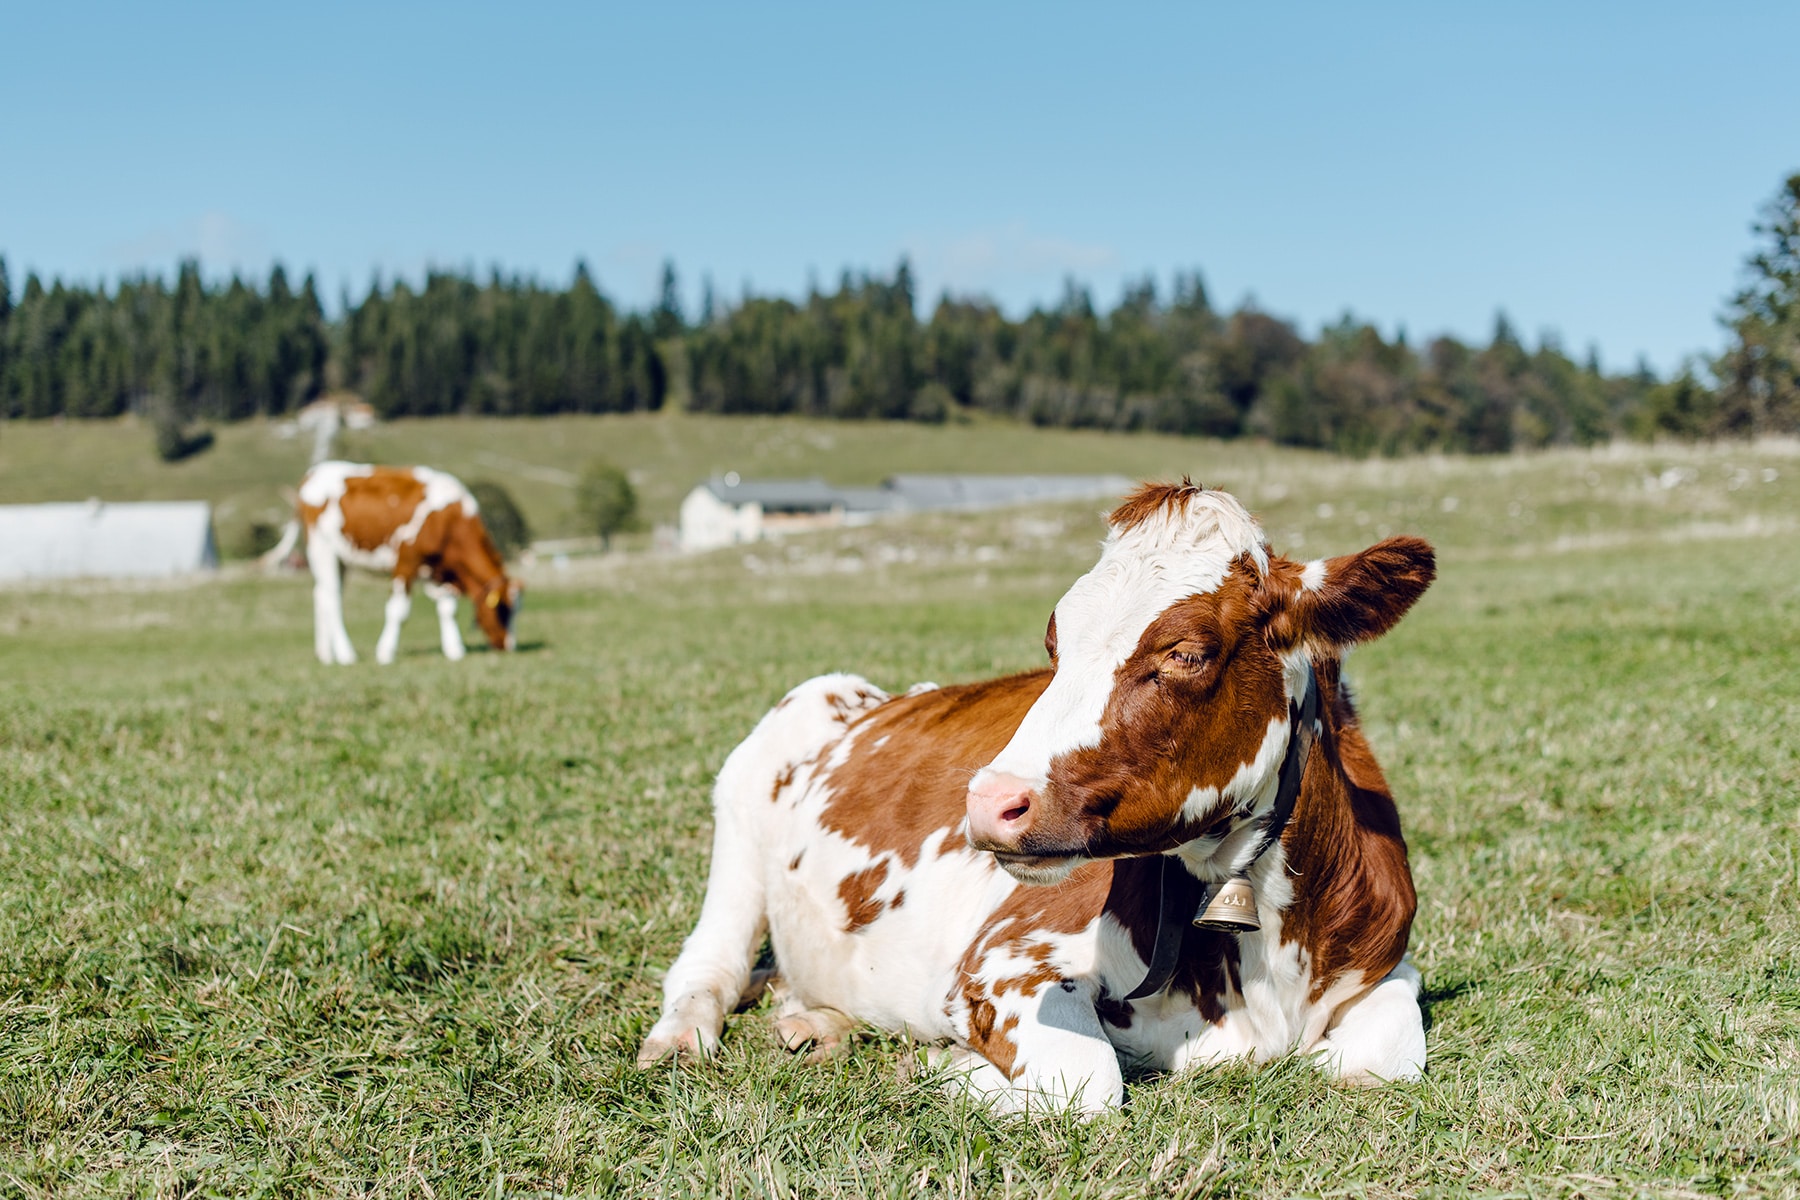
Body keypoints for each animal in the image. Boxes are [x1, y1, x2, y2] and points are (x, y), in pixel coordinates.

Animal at [266, 460, 525, 665]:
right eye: (502, 609)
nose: (508, 646)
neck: (451, 522)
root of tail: (315, 471)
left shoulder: (438, 570)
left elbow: (447, 609)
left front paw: (454, 650)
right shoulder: (406, 561)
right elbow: (398, 610)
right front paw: (385, 653)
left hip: (341, 556)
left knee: (321, 594)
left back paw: (326, 655)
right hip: (321, 548)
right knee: (331, 599)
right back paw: (346, 654)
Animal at [640, 482, 1440, 1115]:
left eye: (1186, 652)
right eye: (1055, 643)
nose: (990, 801)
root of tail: (871, 692)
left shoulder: (1388, 963)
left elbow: (1380, 1059)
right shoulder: (1005, 959)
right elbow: (1088, 1082)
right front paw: (942, 1063)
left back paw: (816, 1025)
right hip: (743, 819)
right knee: (706, 967)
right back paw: (680, 1039)